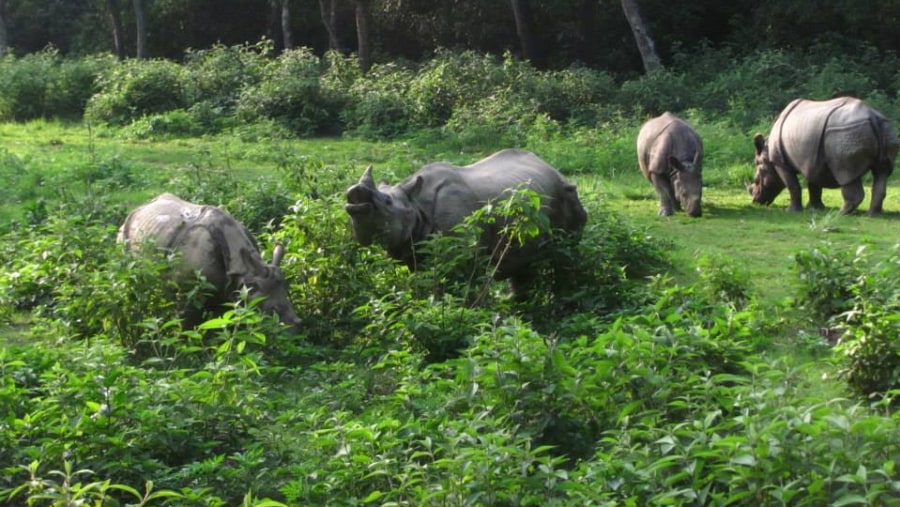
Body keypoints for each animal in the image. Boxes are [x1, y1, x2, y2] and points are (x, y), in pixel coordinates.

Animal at [114, 192, 298, 328]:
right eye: (271, 310)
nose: (296, 325)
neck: (244, 274)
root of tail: (139, 208)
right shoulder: (186, 292)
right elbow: (186, 324)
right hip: (124, 235)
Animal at [342, 149, 588, 296]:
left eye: (387, 201)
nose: (353, 195)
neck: (416, 203)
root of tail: (552, 167)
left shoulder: (461, 253)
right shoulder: (414, 251)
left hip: (568, 193)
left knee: (566, 255)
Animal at [748, 97, 896, 214]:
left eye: (756, 180)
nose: (755, 201)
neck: (766, 155)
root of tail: (873, 117)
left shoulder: (780, 163)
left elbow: (792, 185)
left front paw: (791, 211)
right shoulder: (813, 161)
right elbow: (814, 184)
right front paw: (815, 208)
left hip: (844, 133)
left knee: (844, 173)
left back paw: (840, 213)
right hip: (885, 128)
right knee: (882, 172)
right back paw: (873, 214)